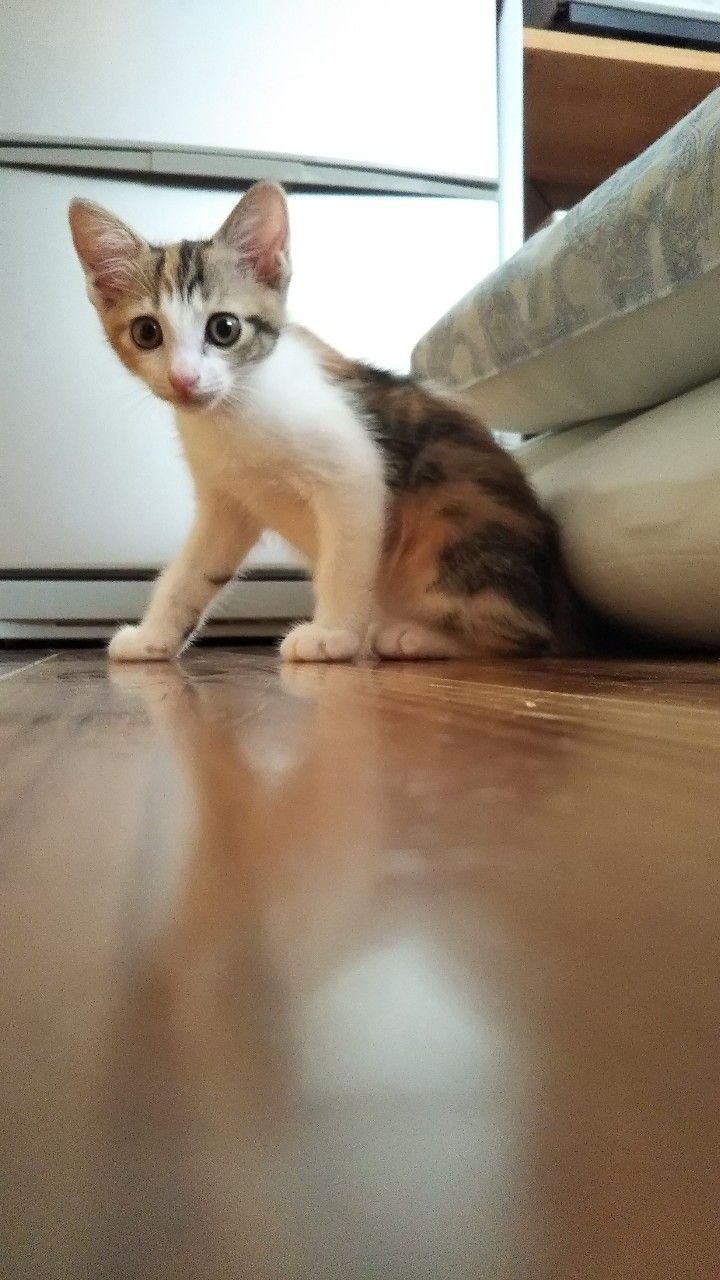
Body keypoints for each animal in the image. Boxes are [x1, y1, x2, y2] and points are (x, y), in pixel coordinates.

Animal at [69, 181, 569, 663]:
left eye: (224, 329)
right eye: (146, 332)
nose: (184, 379)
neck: (234, 410)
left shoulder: (355, 476)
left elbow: (344, 566)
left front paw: (332, 636)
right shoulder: (226, 506)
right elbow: (189, 574)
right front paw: (153, 639)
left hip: (455, 534)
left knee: (528, 634)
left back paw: (409, 636)